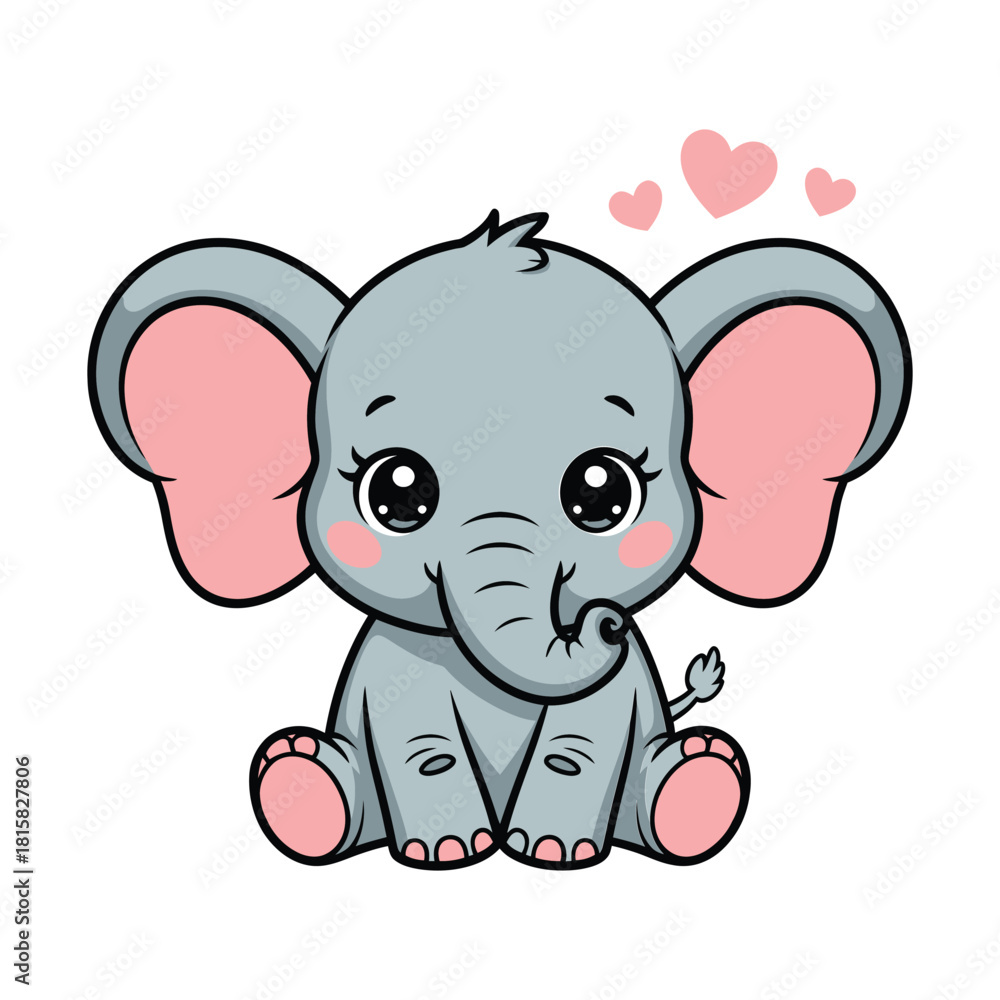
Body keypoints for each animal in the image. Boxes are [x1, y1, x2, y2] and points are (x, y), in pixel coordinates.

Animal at [89, 211, 910, 869]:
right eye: (396, 491)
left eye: (603, 492)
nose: (606, 620)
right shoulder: (399, 663)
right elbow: (420, 743)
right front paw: (446, 852)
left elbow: (581, 742)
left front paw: (552, 853)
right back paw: (301, 780)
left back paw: (698, 783)